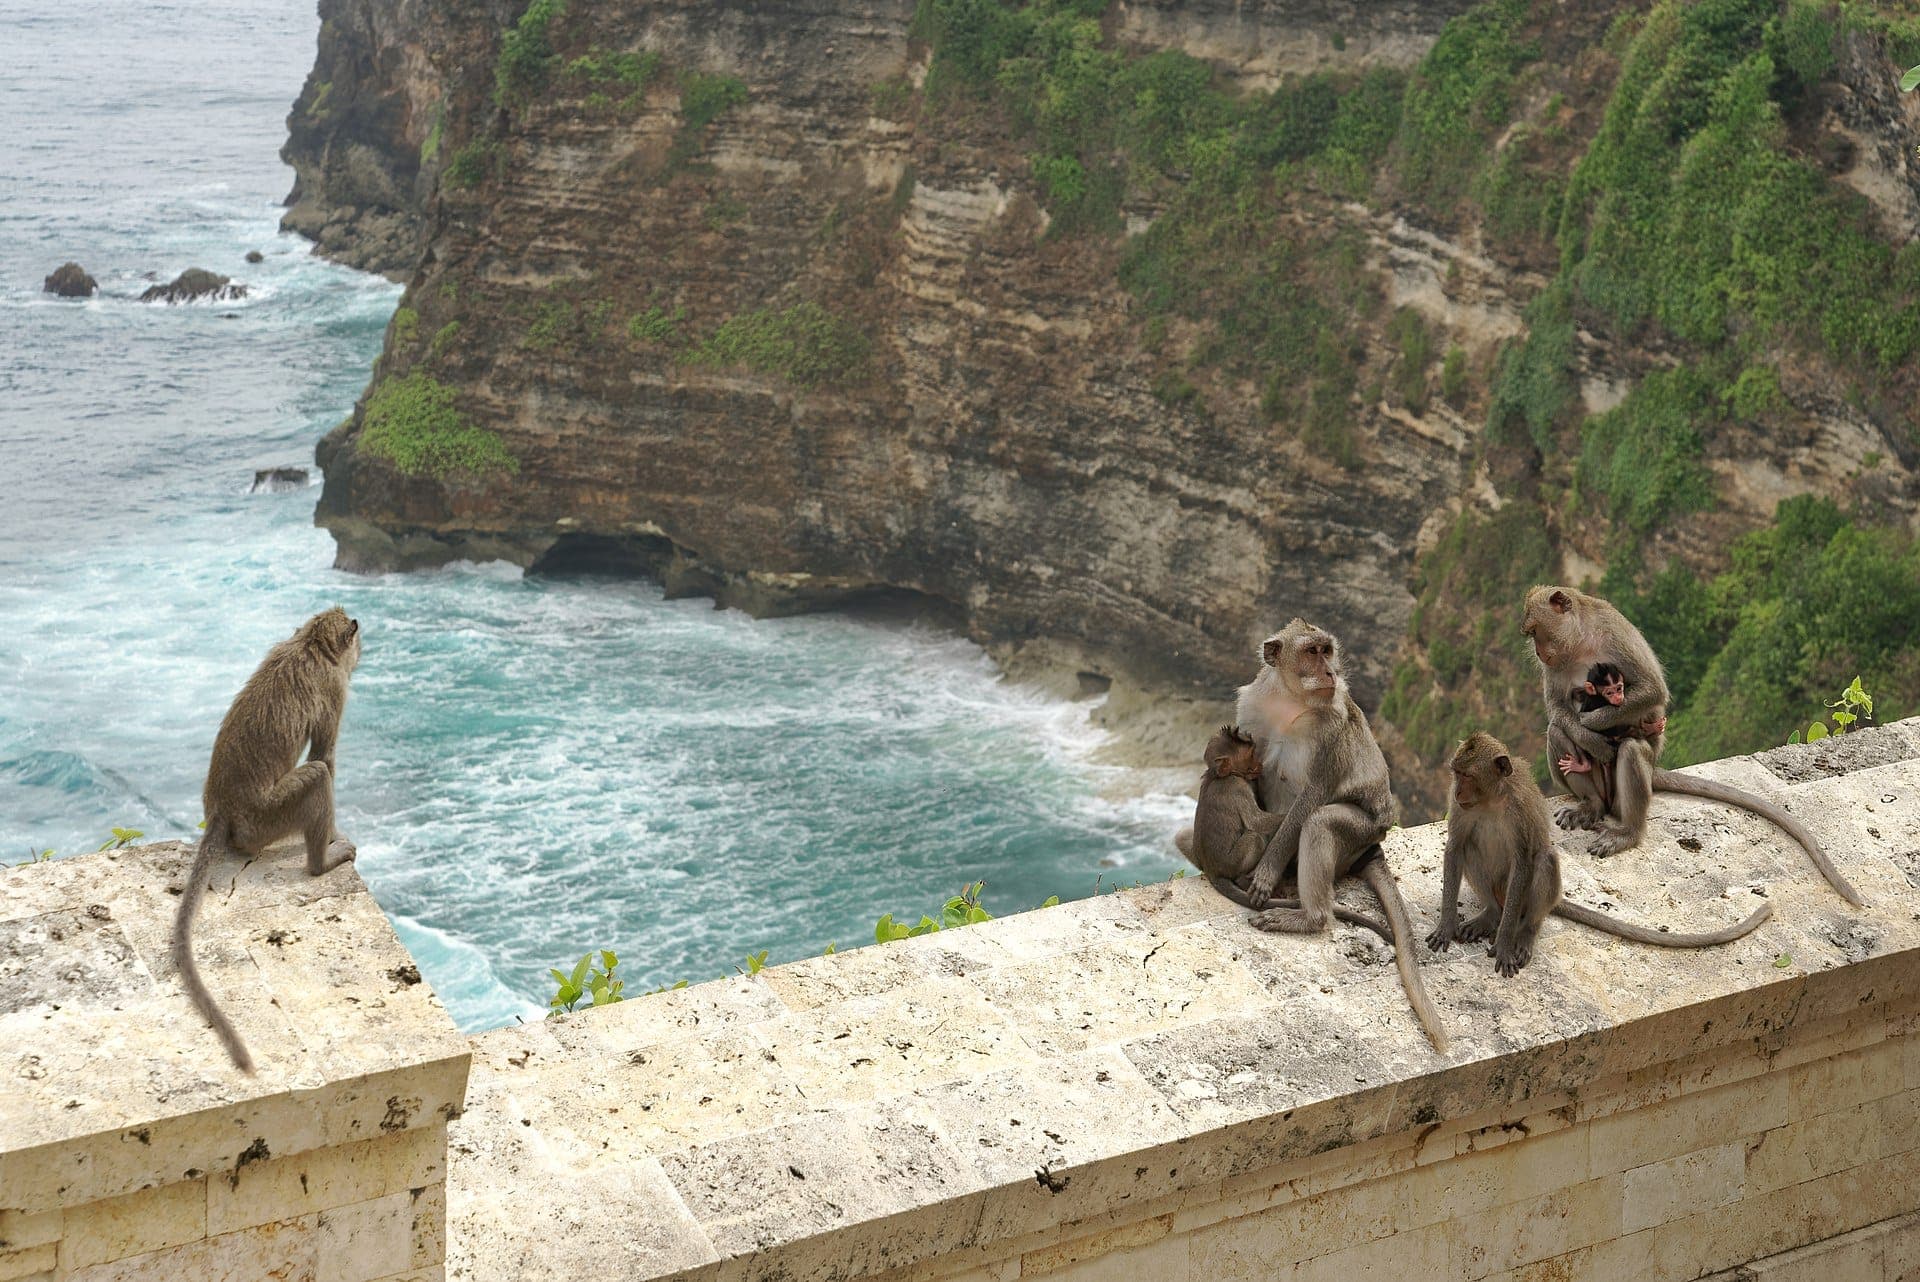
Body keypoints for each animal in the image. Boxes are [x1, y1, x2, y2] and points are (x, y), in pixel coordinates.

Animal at [173, 607, 363, 1073]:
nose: (362, 656)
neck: (310, 644)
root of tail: (221, 812)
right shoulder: (334, 688)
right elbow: (325, 756)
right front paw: (334, 837)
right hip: (268, 818)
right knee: (317, 776)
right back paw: (321, 863)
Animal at [1175, 725, 1394, 944]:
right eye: (1251, 755)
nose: (1259, 765)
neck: (1218, 775)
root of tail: (1212, 871)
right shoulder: (1239, 788)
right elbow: (1257, 821)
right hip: (1233, 861)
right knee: (1255, 837)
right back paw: (1244, 879)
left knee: (1181, 835)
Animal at [1234, 619, 1450, 1053]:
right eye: (1312, 651)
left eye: (1327, 651)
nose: (1330, 672)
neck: (1290, 701)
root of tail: (1372, 847)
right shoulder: (1251, 710)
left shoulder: (1332, 730)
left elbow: (1314, 795)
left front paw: (1267, 871)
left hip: (1360, 832)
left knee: (1320, 822)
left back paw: (1308, 917)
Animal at [1428, 732, 1773, 976]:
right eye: (1456, 773)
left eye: (1468, 776)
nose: (1457, 792)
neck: (1491, 799)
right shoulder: (1461, 810)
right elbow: (1456, 847)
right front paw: (1446, 925)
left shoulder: (1519, 808)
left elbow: (1525, 859)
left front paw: (1503, 944)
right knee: (1472, 852)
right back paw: (1491, 914)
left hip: (1525, 898)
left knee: (1544, 863)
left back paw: (1524, 932)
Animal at [1523, 585, 1862, 905]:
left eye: (1536, 631)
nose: (1538, 653)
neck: (1579, 641)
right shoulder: (1558, 666)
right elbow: (1558, 711)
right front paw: (1590, 737)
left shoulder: (1614, 633)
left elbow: (1652, 690)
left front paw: (1593, 724)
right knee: (1557, 732)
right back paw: (1589, 803)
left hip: (1629, 784)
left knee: (1632, 751)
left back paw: (1629, 832)